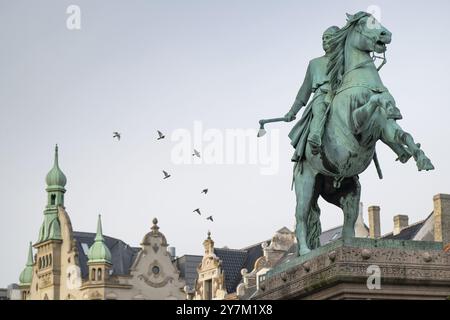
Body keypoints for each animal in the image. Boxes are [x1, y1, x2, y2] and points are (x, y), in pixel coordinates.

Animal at [294, 12, 434, 256]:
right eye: (363, 23)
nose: (386, 34)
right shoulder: (356, 123)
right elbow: (374, 102)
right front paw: (385, 101)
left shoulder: (385, 128)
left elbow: (403, 135)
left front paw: (421, 158)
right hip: (306, 186)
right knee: (301, 219)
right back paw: (304, 252)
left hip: (348, 192)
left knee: (348, 224)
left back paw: (351, 243)